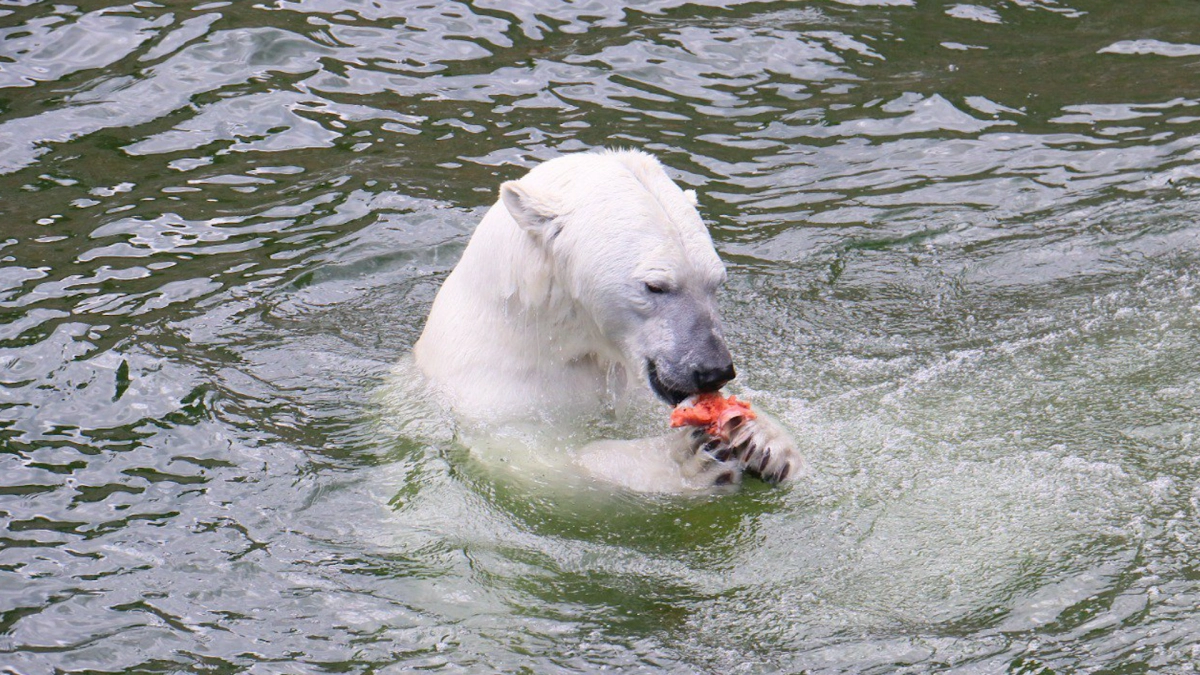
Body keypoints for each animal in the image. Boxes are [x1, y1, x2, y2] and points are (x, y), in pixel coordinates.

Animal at [415, 149, 806, 492]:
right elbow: (532, 462)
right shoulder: (494, 394)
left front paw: (760, 439)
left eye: (716, 282)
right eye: (655, 286)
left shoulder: (631, 379)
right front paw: (687, 460)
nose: (713, 370)